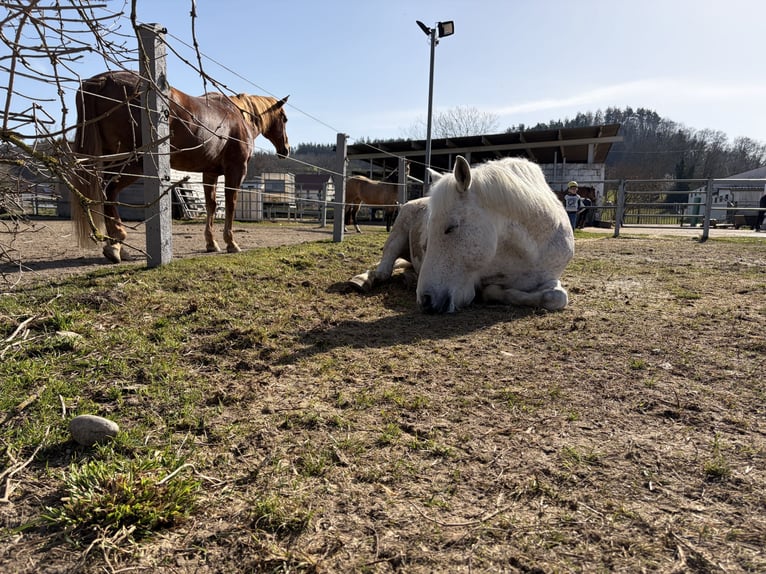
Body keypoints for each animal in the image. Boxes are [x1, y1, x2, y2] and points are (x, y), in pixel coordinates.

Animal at [71, 70, 290, 263]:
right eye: (284, 118)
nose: (285, 149)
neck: (236, 116)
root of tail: (102, 81)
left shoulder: (209, 173)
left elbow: (211, 205)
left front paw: (211, 243)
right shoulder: (235, 170)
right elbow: (230, 204)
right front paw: (231, 242)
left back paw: (117, 246)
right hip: (131, 163)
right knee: (109, 191)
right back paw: (117, 242)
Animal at [348, 156, 574, 313]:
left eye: (451, 228)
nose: (425, 301)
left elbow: (556, 297)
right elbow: (490, 290)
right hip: (396, 234)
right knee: (384, 270)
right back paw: (363, 279)